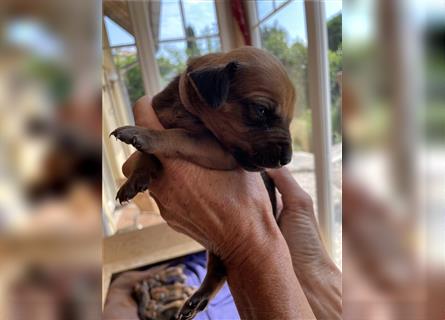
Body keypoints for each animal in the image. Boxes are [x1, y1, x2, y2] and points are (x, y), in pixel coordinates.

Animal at [110, 46, 294, 318]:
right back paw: (196, 301)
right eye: (261, 110)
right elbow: (147, 156)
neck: (186, 109)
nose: (287, 159)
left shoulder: (215, 149)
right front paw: (136, 178)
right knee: (218, 270)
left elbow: (178, 136)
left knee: (220, 271)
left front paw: (143, 136)